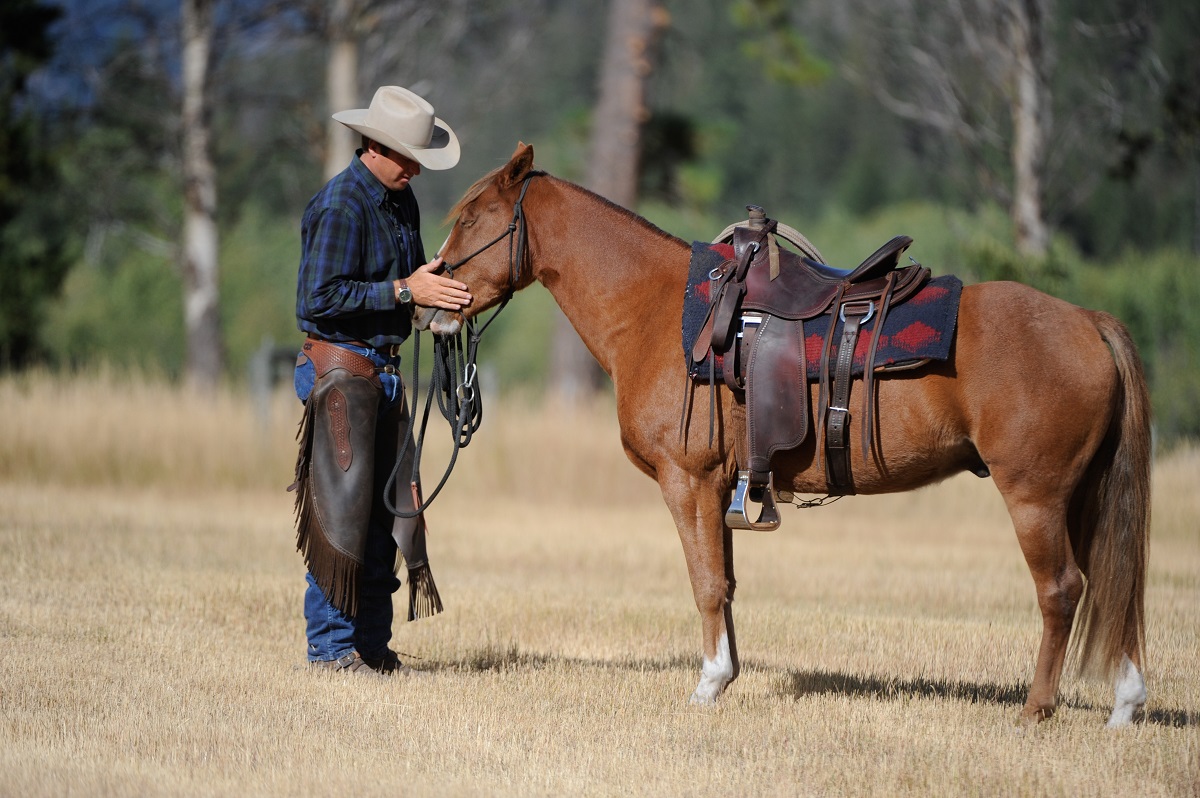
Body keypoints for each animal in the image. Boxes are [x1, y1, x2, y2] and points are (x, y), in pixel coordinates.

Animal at [418, 143, 1152, 727]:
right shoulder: (723, 488)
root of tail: (1087, 322)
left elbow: (706, 583)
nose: (429, 301)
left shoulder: (688, 483)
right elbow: (726, 583)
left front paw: (709, 685)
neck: (656, 309)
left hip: (1035, 496)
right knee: (1111, 584)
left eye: (473, 218)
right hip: (1082, 496)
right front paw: (726, 676)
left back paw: (1037, 708)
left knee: (1062, 590)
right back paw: (1124, 704)